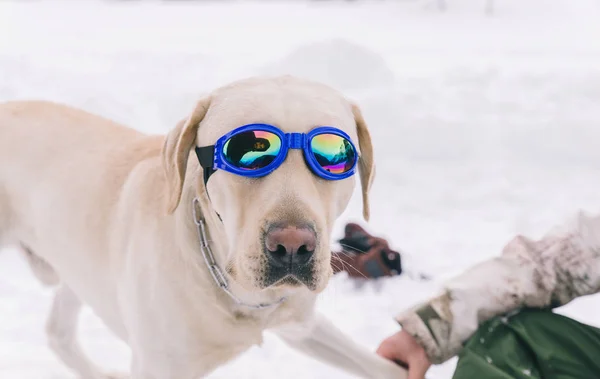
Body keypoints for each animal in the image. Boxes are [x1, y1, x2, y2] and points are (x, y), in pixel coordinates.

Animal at [0, 75, 408, 378]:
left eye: (335, 157)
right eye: (249, 151)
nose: (293, 246)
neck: (235, 294)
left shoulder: (301, 324)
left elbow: (385, 368)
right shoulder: (158, 367)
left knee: (58, 333)